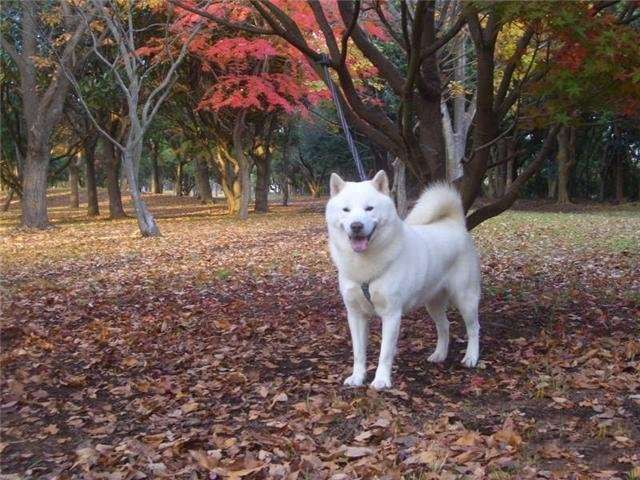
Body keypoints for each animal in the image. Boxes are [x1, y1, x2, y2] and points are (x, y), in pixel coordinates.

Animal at [324, 172, 480, 390]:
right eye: (346, 210)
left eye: (369, 208)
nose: (356, 226)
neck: (365, 264)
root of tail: (454, 223)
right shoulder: (355, 315)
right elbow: (358, 353)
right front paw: (357, 377)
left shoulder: (391, 315)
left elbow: (385, 353)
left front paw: (381, 381)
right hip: (433, 302)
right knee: (444, 326)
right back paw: (439, 354)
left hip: (465, 298)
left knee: (474, 328)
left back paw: (471, 357)